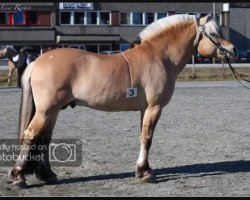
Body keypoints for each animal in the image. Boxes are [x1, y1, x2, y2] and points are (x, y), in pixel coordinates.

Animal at [9, 14, 236, 188]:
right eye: (213, 33)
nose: (233, 50)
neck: (158, 56)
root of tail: (38, 61)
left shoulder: (145, 109)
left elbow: (143, 136)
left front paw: (142, 170)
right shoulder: (155, 107)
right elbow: (147, 138)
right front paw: (146, 173)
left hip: (53, 111)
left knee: (44, 140)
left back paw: (48, 175)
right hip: (46, 110)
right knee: (30, 135)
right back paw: (18, 176)